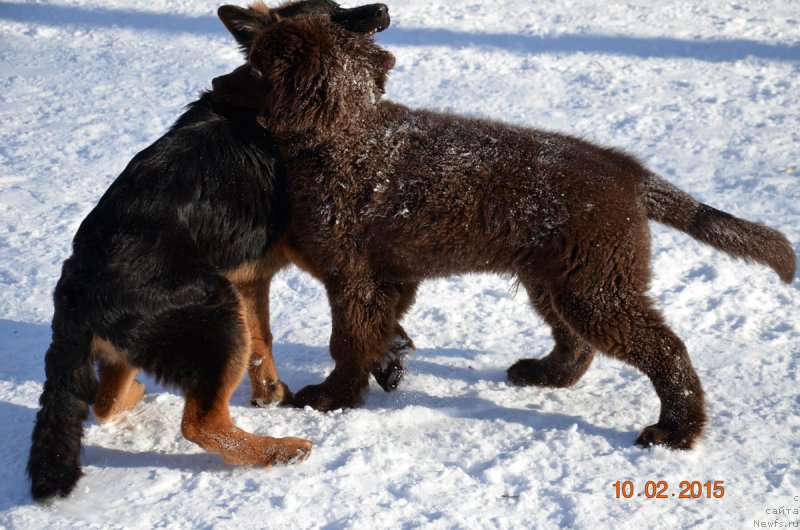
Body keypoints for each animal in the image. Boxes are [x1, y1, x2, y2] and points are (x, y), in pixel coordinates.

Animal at [28, 2, 404, 502]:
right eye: (334, 14)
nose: (381, 9)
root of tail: (76, 287)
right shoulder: (302, 242)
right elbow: (354, 299)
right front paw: (385, 347)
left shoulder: (251, 274)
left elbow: (263, 338)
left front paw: (270, 389)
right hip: (217, 314)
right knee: (200, 423)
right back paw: (276, 450)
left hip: (189, 320)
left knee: (104, 402)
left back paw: (137, 397)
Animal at [212, 14, 792, 448]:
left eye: (256, 67)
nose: (215, 84)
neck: (342, 139)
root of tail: (632, 174)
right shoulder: (389, 279)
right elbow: (379, 334)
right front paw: (385, 370)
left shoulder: (354, 276)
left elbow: (349, 342)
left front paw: (332, 399)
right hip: (557, 277)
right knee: (576, 343)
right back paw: (546, 374)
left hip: (596, 287)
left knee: (665, 350)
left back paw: (676, 430)